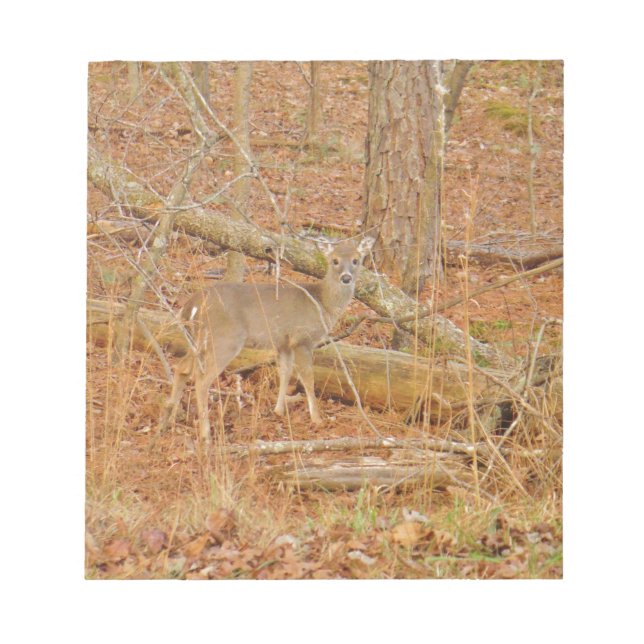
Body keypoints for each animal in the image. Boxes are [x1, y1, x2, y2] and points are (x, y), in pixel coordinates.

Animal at [158, 236, 375, 442]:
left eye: (356, 260)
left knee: (182, 368)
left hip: (198, 340)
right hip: (225, 339)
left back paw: (168, 420)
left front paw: (278, 410)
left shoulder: (283, 343)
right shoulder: (301, 339)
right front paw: (317, 419)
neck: (323, 304)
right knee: (202, 380)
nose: (346, 278)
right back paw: (205, 433)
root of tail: (192, 303)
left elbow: (285, 372)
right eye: (334, 260)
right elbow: (307, 378)